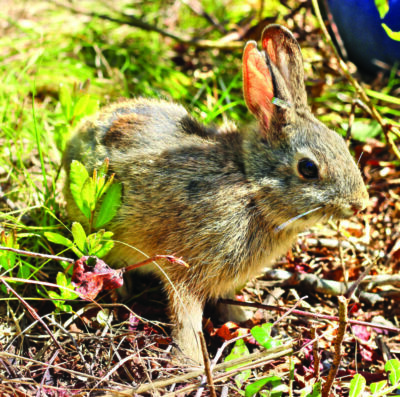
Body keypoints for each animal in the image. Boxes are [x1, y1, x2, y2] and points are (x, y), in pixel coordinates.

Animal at [63, 24, 368, 364]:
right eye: (308, 168)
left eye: (341, 142)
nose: (359, 203)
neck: (252, 185)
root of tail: (74, 141)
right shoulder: (187, 268)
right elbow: (186, 316)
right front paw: (193, 360)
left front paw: (244, 320)